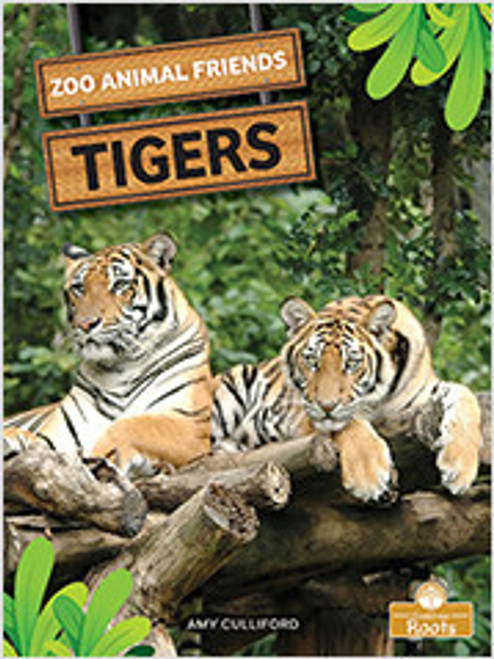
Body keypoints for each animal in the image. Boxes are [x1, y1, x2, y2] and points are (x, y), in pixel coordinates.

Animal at [4, 232, 213, 472]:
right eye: (79, 288)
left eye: (120, 284)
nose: (85, 324)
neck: (122, 363)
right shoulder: (63, 432)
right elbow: (37, 440)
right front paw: (12, 439)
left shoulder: (190, 424)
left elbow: (129, 426)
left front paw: (100, 458)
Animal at [211, 295, 482, 501]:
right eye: (312, 361)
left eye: (351, 363)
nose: (326, 405)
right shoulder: (307, 411)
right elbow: (350, 423)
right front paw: (369, 476)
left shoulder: (427, 392)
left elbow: (466, 396)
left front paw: (460, 468)